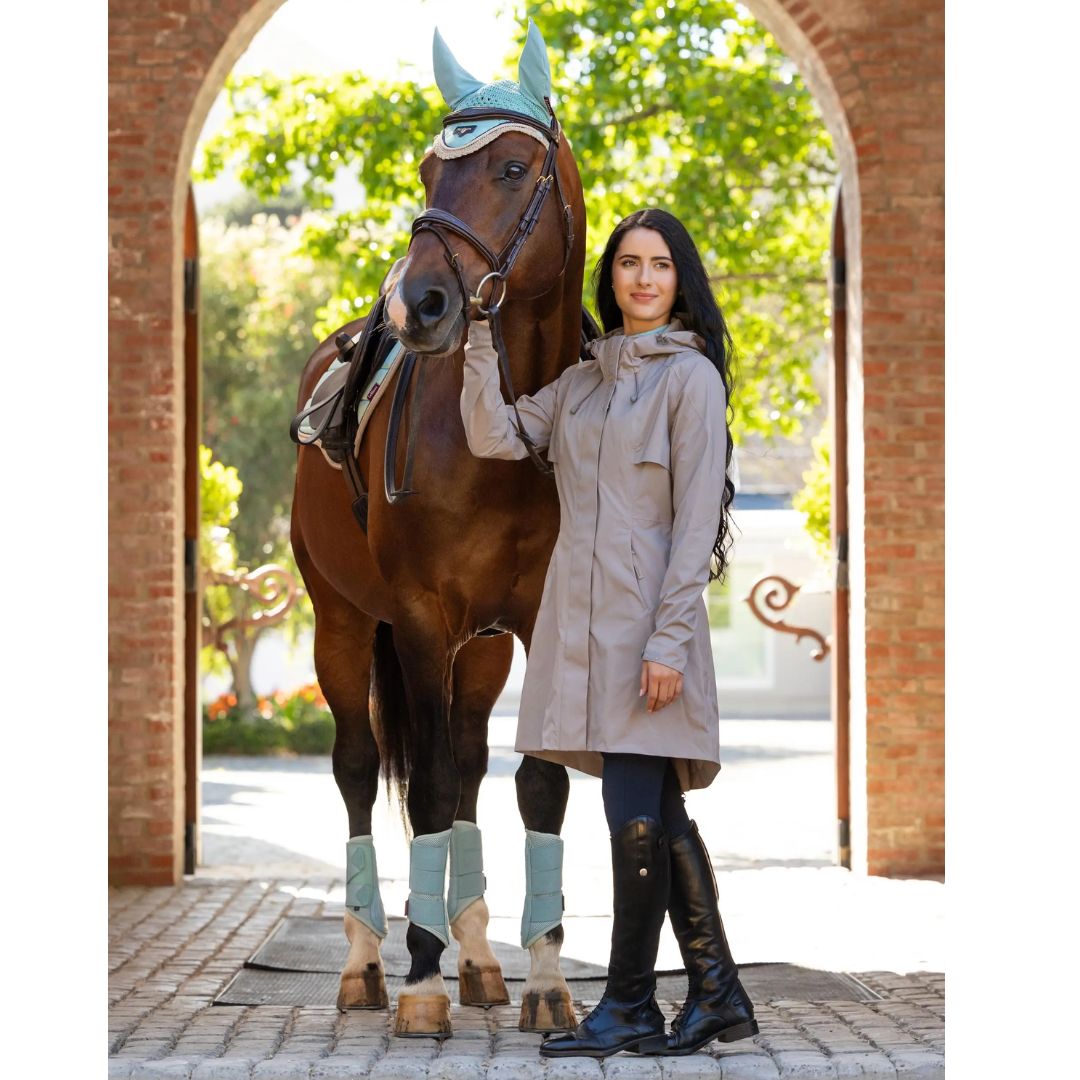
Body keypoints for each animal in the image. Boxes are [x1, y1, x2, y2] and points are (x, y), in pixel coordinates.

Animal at [291, 23, 587, 1036]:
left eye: (510, 167)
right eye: (428, 168)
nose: (416, 305)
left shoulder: (539, 622)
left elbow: (534, 785)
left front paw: (544, 981)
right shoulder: (418, 620)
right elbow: (416, 788)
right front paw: (419, 987)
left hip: (481, 648)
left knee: (463, 761)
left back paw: (478, 958)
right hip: (342, 622)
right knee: (358, 767)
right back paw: (367, 963)